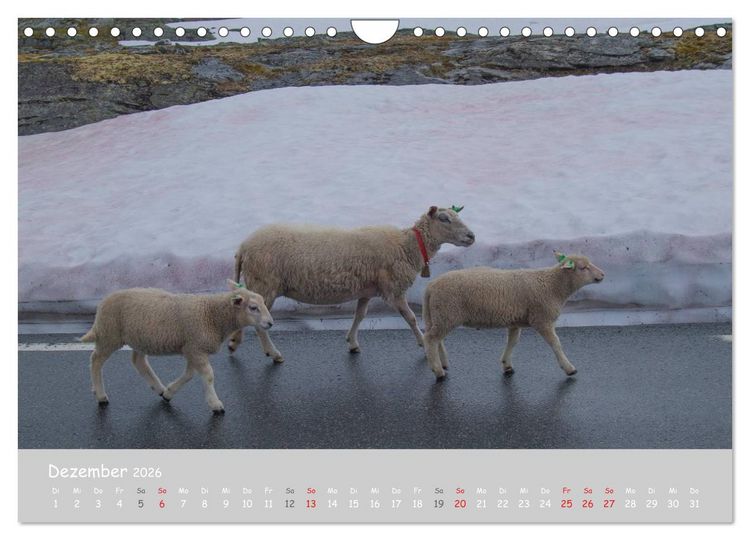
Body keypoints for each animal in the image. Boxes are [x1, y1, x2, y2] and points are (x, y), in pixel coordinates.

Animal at [79, 280, 273, 414]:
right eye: (253, 307)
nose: (270, 323)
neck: (212, 314)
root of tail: (102, 303)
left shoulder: (192, 348)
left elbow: (189, 375)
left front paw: (169, 392)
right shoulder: (196, 348)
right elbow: (208, 376)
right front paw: (215, 404)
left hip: (139, 338)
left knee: (138, 361)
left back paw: (158, 388)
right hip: (110, 334)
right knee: (95, 360)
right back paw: (101, 395)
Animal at [230, 206, 475, 361]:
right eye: (444, 218)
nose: (471, 236)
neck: (407, 246)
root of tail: (243, 247)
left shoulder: (367, 289)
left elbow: (360, 315)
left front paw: (352, 342)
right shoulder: (393, 289)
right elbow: (411, 318)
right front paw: (423, 344)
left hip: (259, 284)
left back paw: (234, 343)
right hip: (265, 284)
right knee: (258, 325)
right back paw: (273, 354)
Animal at [422, 251, 605, 379]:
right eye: (583, 267)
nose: (602, 274)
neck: (553, 286)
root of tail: (431, 286)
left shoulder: (515, 320)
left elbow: (513, 342)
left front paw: (507, 365)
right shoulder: (542, 318)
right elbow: (556, 344)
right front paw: (569, 368)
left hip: (440, 315)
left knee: (437, 339)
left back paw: (443, 363)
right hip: (448, 312)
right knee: (430, 339)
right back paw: (437, 371)